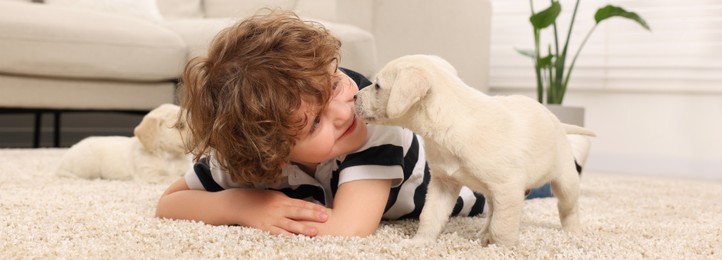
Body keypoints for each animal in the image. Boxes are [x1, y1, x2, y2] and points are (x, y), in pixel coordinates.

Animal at [352, 54, 592, 246]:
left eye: (377, 86)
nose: (354, 96)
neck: (451, 121)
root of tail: (559, 123)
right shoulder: (443, 185)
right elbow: (430, 216)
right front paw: (419, 242)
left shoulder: (508, 188)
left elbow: (503, 227)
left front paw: (503, 249)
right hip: (493, 193)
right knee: (493, 212)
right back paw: (483, 233)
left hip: (565, 182)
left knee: (568, 208)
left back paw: (574, 233)